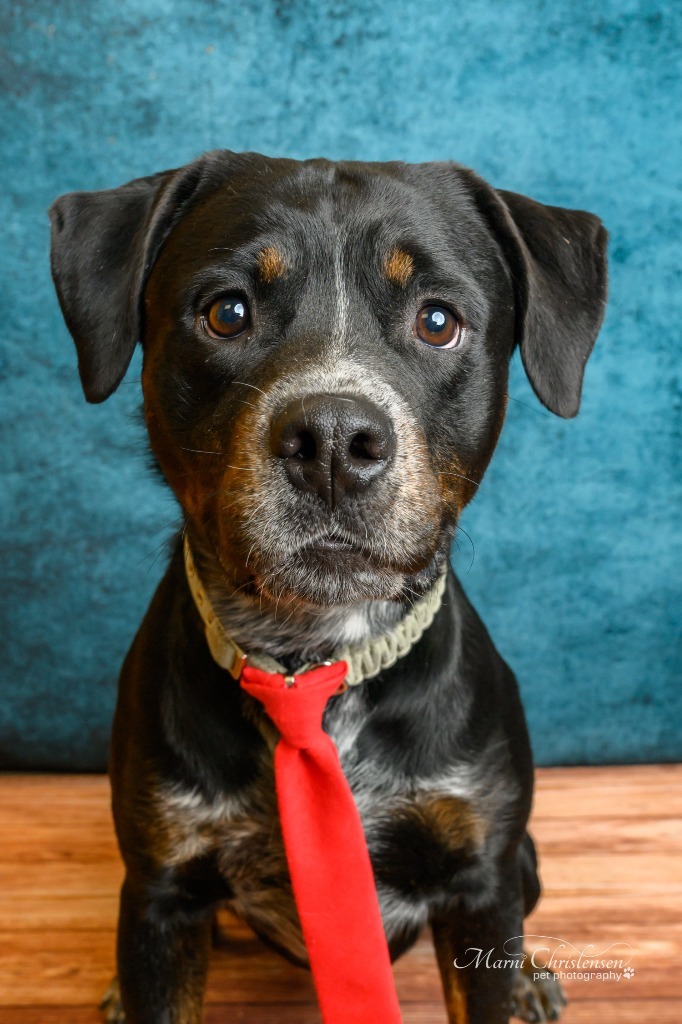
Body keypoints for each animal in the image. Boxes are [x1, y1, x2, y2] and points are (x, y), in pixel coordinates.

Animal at [49, 151, 606, 1024]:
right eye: (227, 312)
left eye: (437, 320)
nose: (335, 440)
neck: (314, 661)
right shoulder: (161, 888)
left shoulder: (479, 879)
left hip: (524, 859)